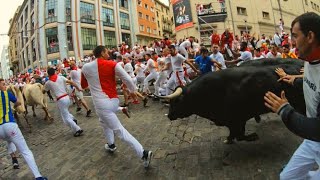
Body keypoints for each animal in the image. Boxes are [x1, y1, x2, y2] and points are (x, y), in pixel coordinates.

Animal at [165, 59, 304, 143]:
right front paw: (229, 139)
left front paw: (253, 136)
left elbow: (240, 135)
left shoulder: (238, 119)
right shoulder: (232, 121)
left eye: (176, 101)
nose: (169, 115)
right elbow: (234, 134)